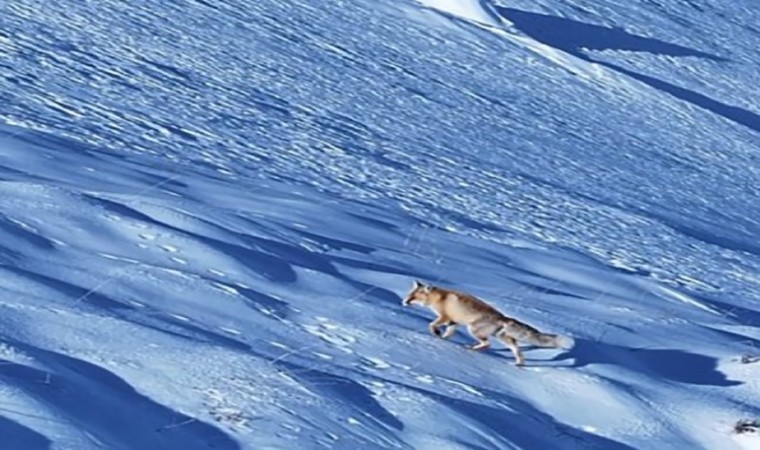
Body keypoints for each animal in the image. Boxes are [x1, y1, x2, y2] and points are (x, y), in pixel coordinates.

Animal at [404, 282, 568, 366]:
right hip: (503, 338)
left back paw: (472, 349)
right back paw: (519, 363)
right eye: (409, 295)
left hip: (474, 330)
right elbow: (449, 333)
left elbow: (432, 325)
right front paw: (442, 339)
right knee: (516, 349)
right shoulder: (453, 321)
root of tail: (503, 317)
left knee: (488, 344)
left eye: (413, 298)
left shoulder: (445, 317)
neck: (440, 297)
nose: (403, 302)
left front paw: (436, 333)